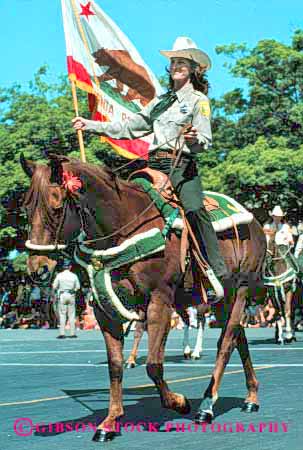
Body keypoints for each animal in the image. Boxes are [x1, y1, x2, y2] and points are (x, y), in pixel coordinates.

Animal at [21, 155, 268, 442]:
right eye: (27, 208)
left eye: (57, 206)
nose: (38, 268)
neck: (123, 226)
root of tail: (256, 224)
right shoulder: (104, 309)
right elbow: (115, 365)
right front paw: (110, 421)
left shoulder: (159, 301)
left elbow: (153, 364)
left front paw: (179, 402)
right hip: (221, 300)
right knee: (239, 337)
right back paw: (251, 396)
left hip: (240, 290)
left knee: (226, 342)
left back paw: (207, 405)